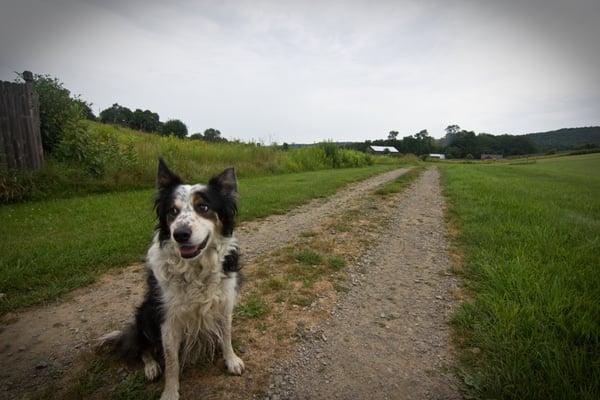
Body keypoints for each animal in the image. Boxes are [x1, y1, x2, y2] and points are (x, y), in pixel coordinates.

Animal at [101, 158, 244, 400]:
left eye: (203, 207)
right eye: (173, 211)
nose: (180, 234)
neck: (196, 268)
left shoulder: (224, 303)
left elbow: (226, 335)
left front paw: (231, 360)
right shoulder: (167, 318)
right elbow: (171, 361)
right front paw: (170, 391)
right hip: (145, 315)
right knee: (143, 347)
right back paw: (151, 367)